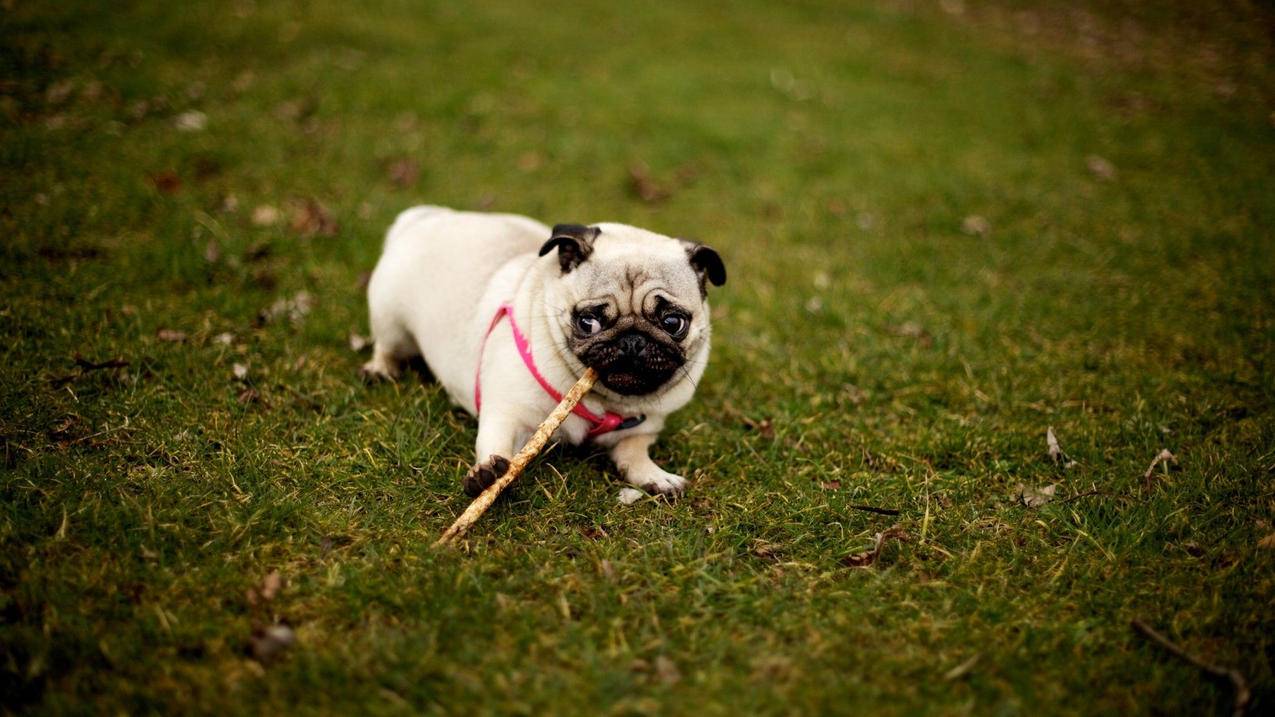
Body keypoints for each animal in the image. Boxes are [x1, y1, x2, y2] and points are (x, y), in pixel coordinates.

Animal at [364, 205, 729, 497]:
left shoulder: (644, 427)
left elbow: (634, 453)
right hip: (391, 321)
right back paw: (380, 369)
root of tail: (425, 217)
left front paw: (655, 476)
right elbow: (495, 443)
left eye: (672, 322)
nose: (632, 340)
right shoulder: (509, 413)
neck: (602, 402)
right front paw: (486, 474)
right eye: (588, 322)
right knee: (386, 346)